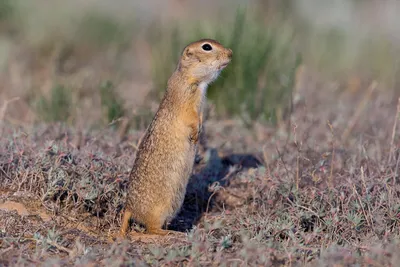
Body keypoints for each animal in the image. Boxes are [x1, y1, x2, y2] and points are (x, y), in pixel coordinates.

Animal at [119, 38, 231, 238]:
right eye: (207, 47)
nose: (231, 53)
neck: (195, 80)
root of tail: (129, 208)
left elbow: (200, 117)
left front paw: (200, 131)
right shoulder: (185, 97)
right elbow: (191, 117)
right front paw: (195, 133)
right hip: (158, 210)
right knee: (151, 229)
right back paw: (171, 233)